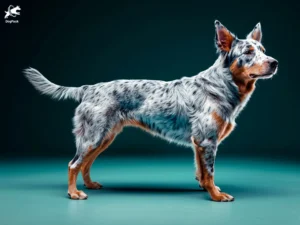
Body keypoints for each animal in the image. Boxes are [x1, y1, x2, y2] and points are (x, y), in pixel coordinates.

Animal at [24, 20, 278, 201]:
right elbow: (210, 171)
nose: (274, 62)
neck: (221, 85)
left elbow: (203, 173)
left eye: (264, 50)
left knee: (85, 164)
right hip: (92, 137)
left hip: (105, 137)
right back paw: (74, 193)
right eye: (248, 52)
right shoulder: (207, 141)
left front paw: (209, 189)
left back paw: (90, 185)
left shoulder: (199, 143)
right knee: (74, 164)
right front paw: (216, 196)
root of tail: (88, 88)